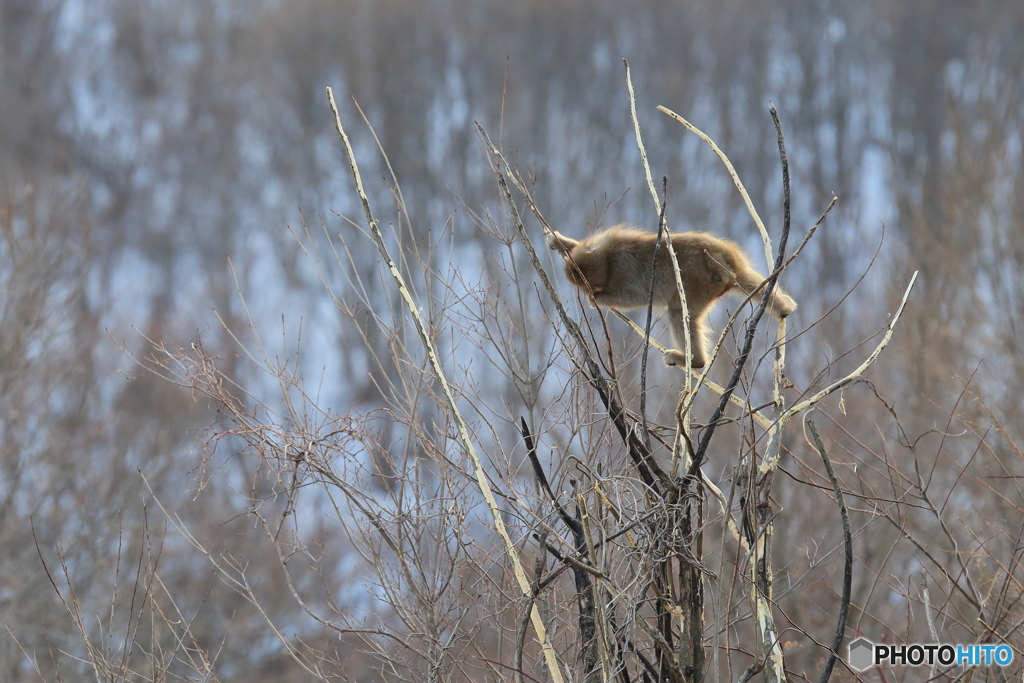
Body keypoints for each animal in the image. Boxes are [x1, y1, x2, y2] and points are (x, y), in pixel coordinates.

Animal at [548, 225, 794, 368]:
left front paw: (597, 300)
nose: (590, 292)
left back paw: (695, 361)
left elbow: (633, 296)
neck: (608, 260)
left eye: (593, 286)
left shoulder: (624, 269)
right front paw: (561, 242)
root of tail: (726, 264)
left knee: (679, 313)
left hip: (699, 286)